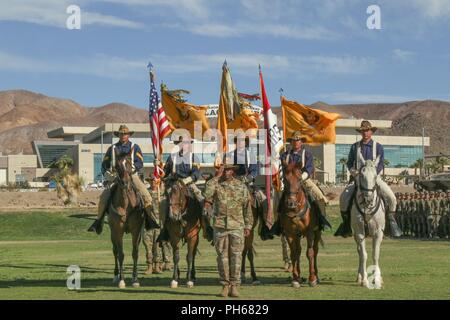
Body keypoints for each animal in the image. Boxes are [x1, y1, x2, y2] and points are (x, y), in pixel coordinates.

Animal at [108, 154, 143, 288]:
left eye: (129, 164)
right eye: (117, 166)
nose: (125, 183)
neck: (126, 205)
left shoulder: (136, 230)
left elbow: (135, 253)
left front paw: (135, 279)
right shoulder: (118, 230)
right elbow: (121, 254)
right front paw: (122, 280)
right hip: (112, 232)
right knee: (115, 251)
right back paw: (115, 275)